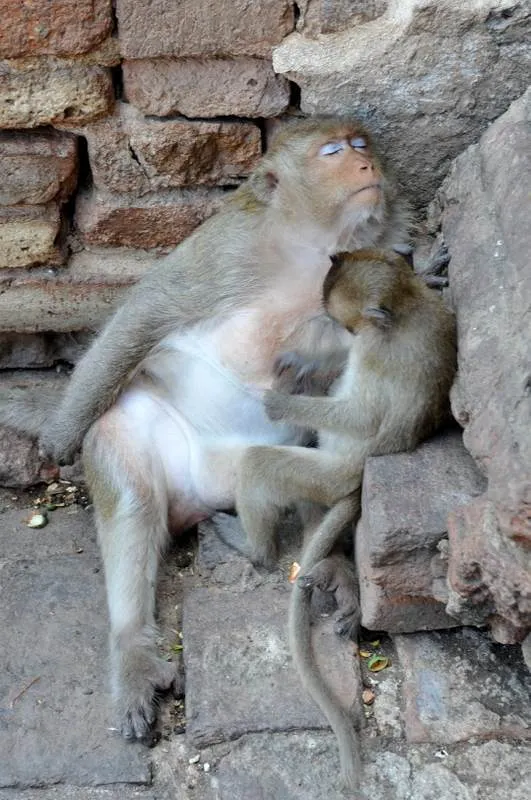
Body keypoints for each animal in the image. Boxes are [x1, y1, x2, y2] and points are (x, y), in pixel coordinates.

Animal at [0, 120, 412, 743]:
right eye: (333, 152)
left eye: (362, 146)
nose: (366, 167)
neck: (308, 244)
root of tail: (205, 492)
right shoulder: (227, 247)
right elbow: (147, 311)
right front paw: (65, 429)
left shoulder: (381, 255)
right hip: (149, 436)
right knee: (132, 496)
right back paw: (132, 649)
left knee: (310, 455)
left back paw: (330, 564)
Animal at [214, 249, 457, 791]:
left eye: (343, 321)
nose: (333, 327)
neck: (406, 310)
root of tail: (353, 483)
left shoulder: (376, 354)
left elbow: (363, 416)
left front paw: (281, 398)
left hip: (328, 474)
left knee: (263, 464)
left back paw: (252, 547)